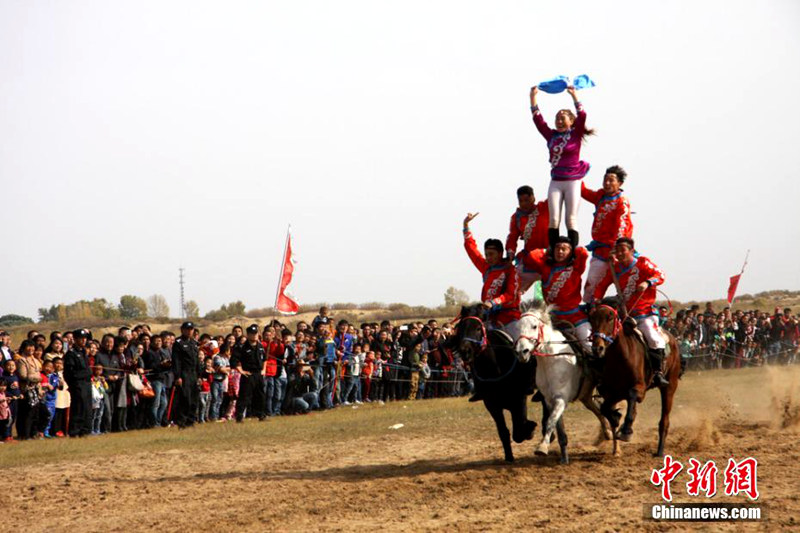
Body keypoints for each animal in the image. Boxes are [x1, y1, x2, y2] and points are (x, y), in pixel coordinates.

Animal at [450, 304, 536, 462]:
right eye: (460, 327)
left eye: (478, 328)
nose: (465, 351)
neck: (495, 369)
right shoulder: (492, 405)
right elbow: (504, 431)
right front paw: (509, 457)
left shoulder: (519, 399)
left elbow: (519, 429)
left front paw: (530, 429)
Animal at [516, 306, 608, 464]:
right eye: (518, 327)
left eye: (534, 326)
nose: (522, 352)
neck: (553, 360)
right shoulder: (550, 401)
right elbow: (559, 429)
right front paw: (564, 457)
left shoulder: (561, 399)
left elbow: (550, 421)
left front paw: (542, 447)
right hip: (586, 397)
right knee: (599, 410)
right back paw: (606, 432)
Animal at [588, 302, 680, 456]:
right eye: (591, 319)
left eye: (610, 318)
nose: (597, 348)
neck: (621, 357)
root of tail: (672, 338)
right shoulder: (612, 393)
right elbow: (605, 408)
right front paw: (616, 419)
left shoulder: (639, 389)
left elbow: (631, 398)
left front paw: (625, 431)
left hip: (670, 386)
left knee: (664, 421)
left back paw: (660, 451)